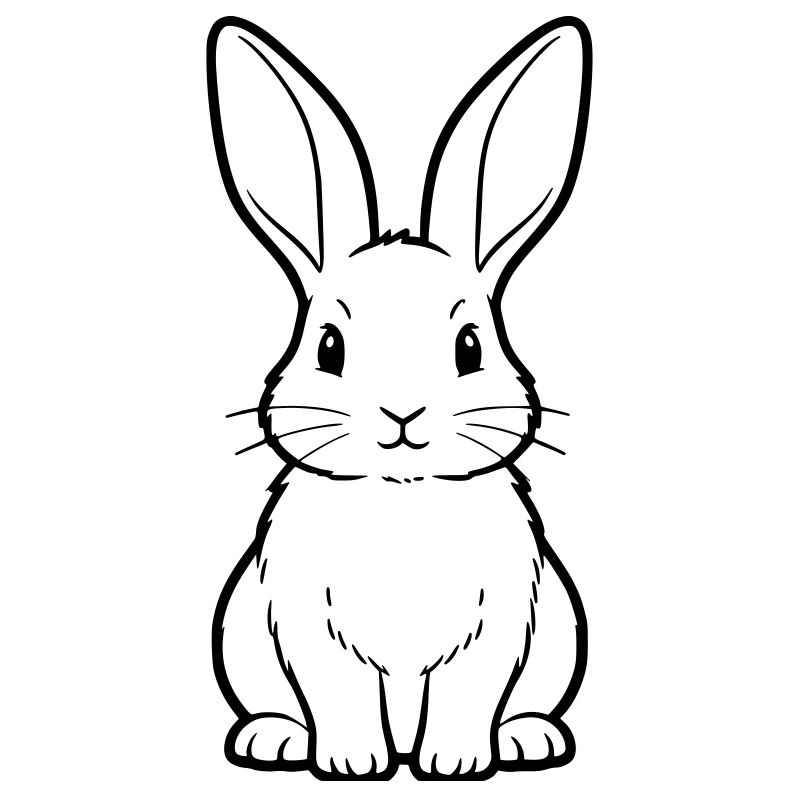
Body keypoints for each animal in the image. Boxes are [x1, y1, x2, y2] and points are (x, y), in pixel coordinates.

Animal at [207, 14, 591, 781]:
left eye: (470, 346)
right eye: (329, 347)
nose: (403, 412)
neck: (401, 501)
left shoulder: (502, 622)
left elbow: (471, 692)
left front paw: (456, 763)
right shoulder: (307, 624)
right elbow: (338, 693)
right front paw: (352, 763)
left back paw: (528, 738)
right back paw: (273, 739)